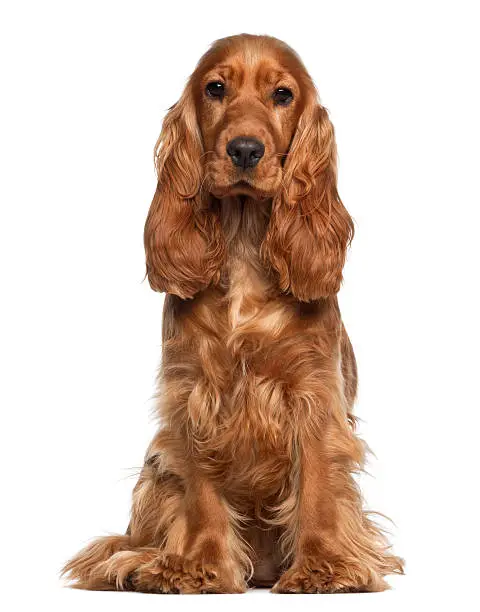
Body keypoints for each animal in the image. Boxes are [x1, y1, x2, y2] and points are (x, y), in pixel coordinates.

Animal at [62, 32, 404, 592]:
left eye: (283, 95)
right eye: (216, 88)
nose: (245, 149)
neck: (244, 245)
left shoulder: (312, 392)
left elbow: (318, 486)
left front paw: (324, 567)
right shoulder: (194, 391)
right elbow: (201, 489)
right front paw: (195, 566)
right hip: (155, 473)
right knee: (134, 537)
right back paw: (135, 563)